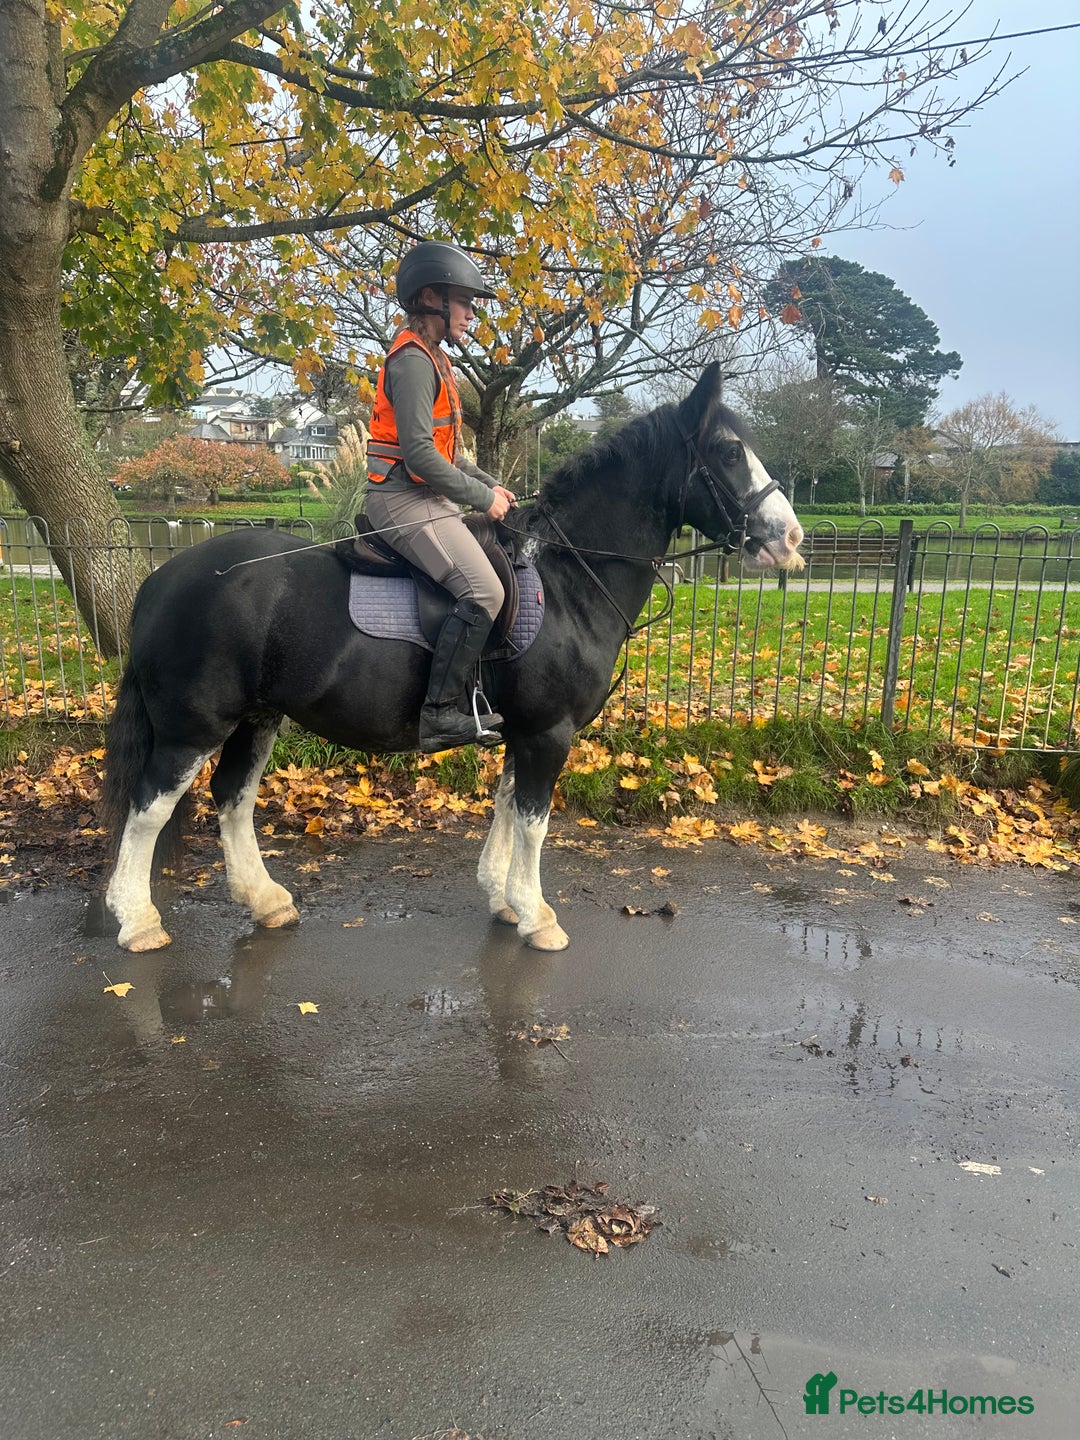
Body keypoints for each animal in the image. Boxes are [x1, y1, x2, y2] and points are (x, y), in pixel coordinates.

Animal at [102, 363, 803, 953]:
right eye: (729, 451)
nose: (792, 538)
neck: (568, 577)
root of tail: (163, 578)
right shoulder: (548, 733)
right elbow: (534, 820)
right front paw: (536, 915)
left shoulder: (523, 730)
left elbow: (508, 805)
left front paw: (504, 899)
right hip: (192, 729)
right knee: (150, 808)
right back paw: (137, 921)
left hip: (257, 719)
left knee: (233, 797)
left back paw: (266, 901)